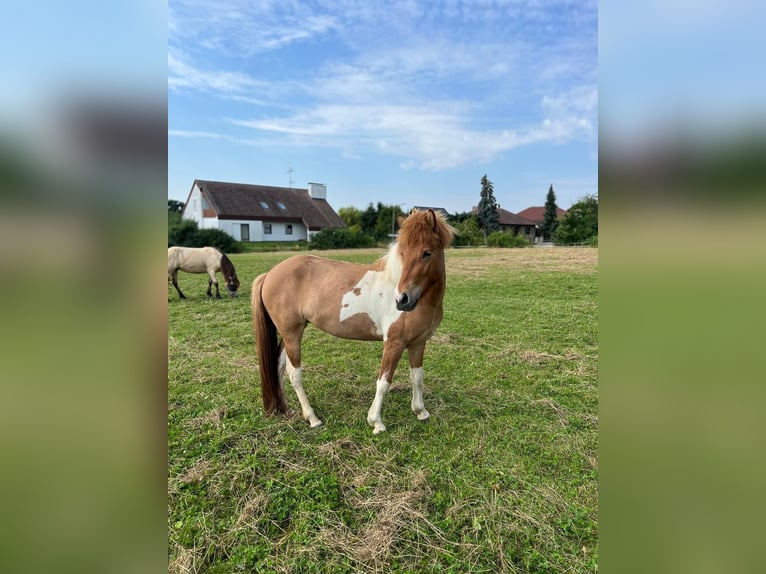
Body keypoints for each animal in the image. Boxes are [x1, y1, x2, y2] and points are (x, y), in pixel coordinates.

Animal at [251, 209, 456, 434]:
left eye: (427, 253)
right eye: (402, 253)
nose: (402, 299)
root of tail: (269, 274)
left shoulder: (418, 343)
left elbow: (417, 377)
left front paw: (421, 412)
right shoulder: (394, 343)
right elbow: (383, 381)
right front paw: (376, 422)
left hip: (288, 333)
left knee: (279, 367)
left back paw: (287, 410)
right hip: (292, 333)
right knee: (294, 374)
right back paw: (313, 418)